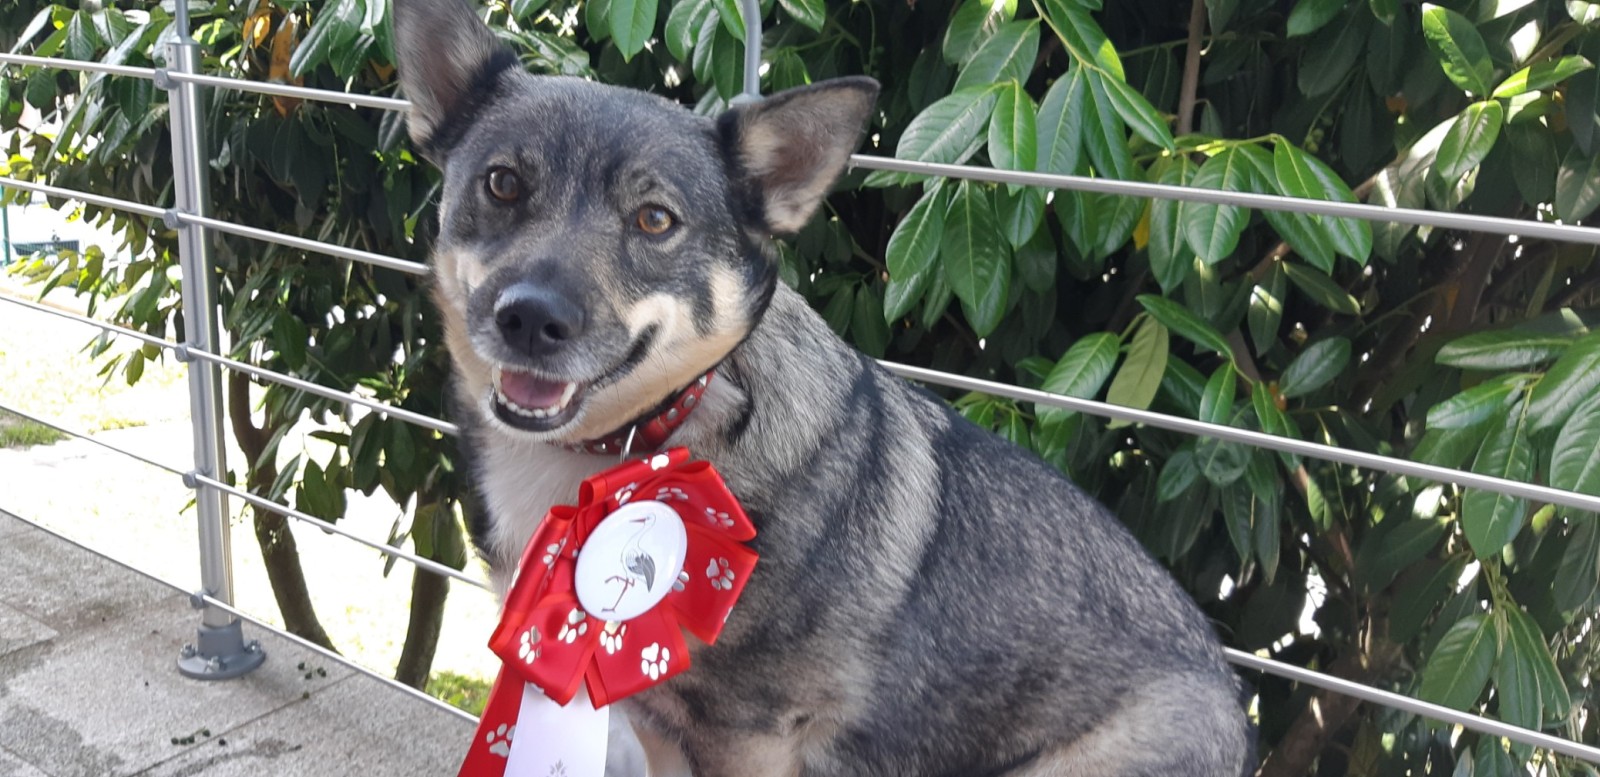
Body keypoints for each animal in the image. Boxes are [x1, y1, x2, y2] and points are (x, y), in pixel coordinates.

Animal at [393, 3, 1254, 773]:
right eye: (504, 184)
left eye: (655, 220)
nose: (530, 319)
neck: (662, 433)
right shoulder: (663, 723)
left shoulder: (748, 740)